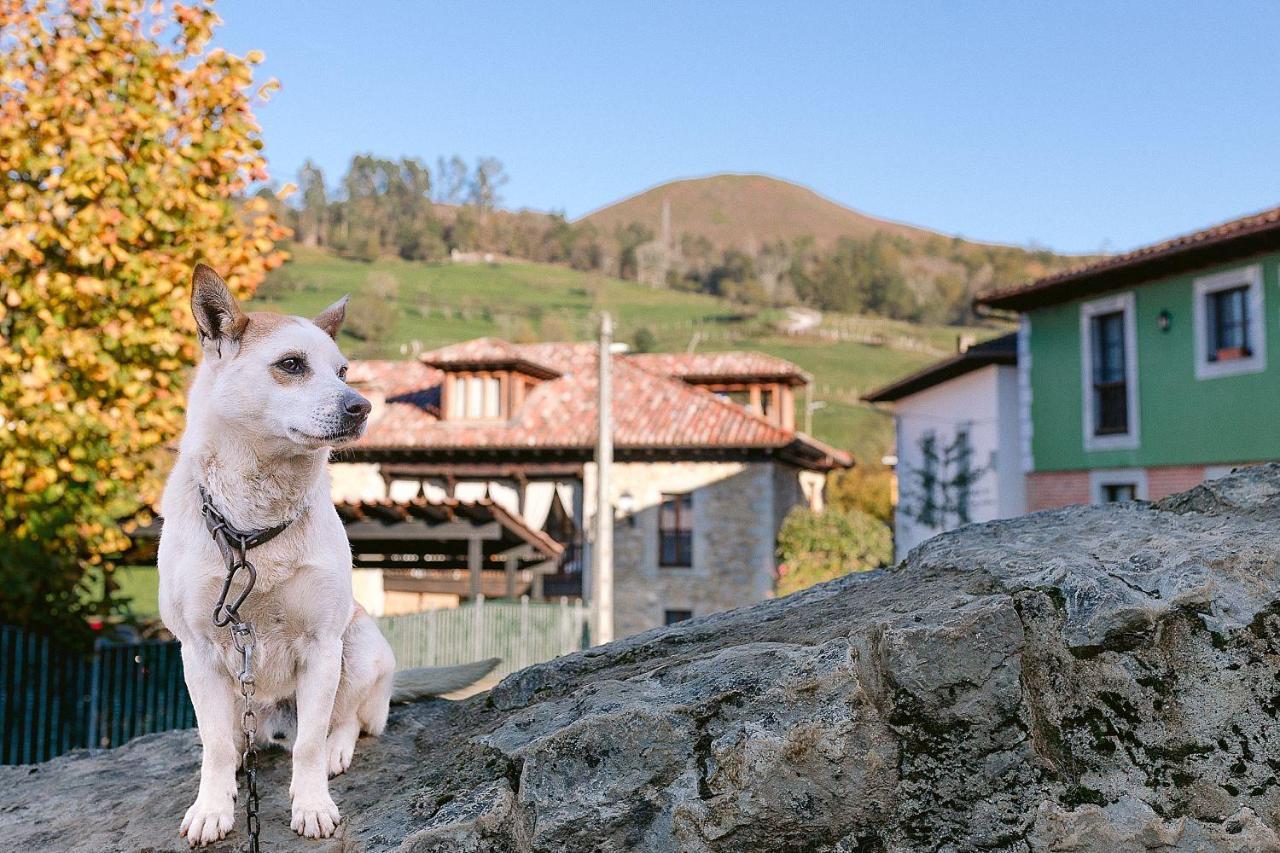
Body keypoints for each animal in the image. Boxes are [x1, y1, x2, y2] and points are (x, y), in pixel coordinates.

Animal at [158, 263, 499, 845]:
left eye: (342, 370)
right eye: (291, 365)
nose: (361, 406)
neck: (253, 528)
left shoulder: (322, 646)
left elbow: (312, 741)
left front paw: (312, 803)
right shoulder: (198, 650)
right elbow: (218, 745)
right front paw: (212, 807)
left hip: (358, 646)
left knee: (352, 719)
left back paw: (340, 749)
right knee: (236, 738)